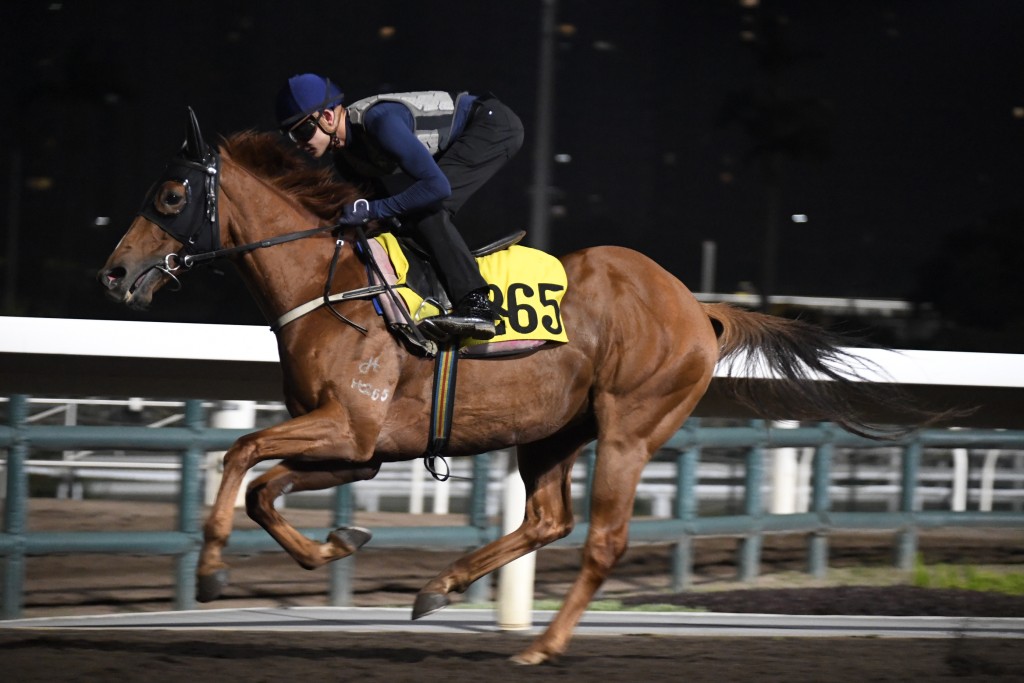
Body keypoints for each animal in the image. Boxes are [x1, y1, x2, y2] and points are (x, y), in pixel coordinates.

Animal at [101, 109, 937, 663]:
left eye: (171, 195)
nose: (115, 272)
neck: (329, 281)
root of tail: (695, 306)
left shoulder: (353, 427)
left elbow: (241, 454)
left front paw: (212, 569)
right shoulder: (359, 449)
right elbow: (264, 489)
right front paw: (338, 541)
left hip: (631, 424)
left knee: (602, 538)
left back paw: (542, 645)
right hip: (552, 430)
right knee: (546, 520)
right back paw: (439, 585)